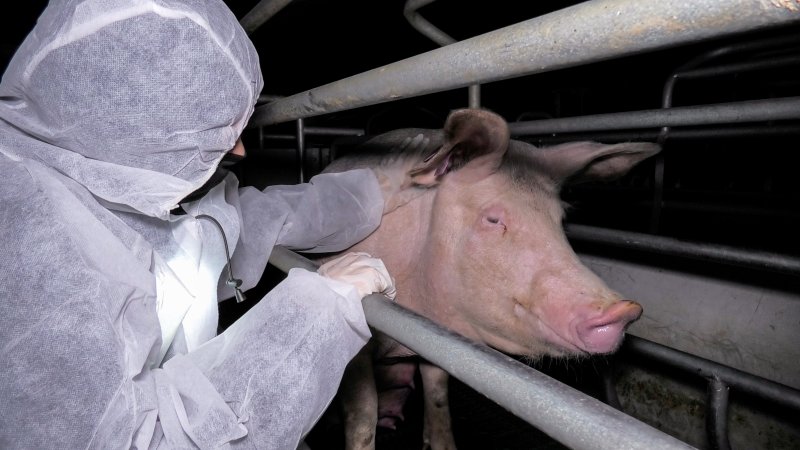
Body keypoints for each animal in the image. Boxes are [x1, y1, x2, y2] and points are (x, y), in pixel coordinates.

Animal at [316, 108, 660, 450]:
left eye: (560, 220)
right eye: (493, 219)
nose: (624, 311)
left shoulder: (434, 332)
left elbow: (437, 388)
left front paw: (443, 445)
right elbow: (363, 411)